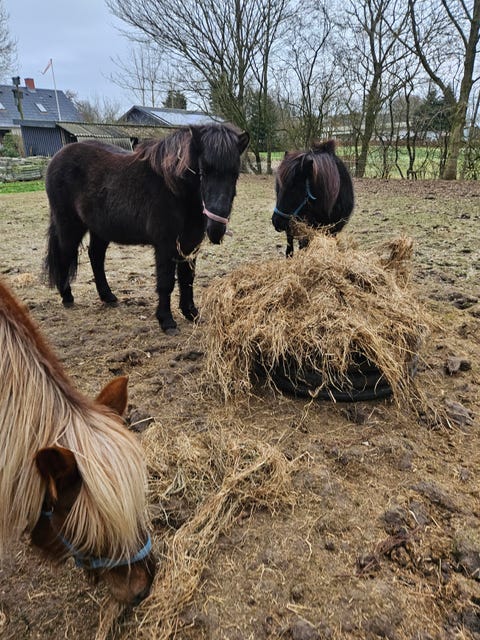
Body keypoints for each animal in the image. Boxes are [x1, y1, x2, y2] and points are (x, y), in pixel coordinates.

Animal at [44, 124, 250, 334]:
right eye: (203, 171)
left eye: (235, 174)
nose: (216, 229)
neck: (175, 190)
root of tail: (57, 158)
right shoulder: (165, 245)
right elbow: (166, 282)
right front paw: (167, 321)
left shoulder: (190, 244)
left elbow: (187, 279)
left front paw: (191, 313)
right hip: (70, 226)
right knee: (64, 255)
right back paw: (67, 297)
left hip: (100, 229)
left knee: (96, 256)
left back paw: (108, 297)